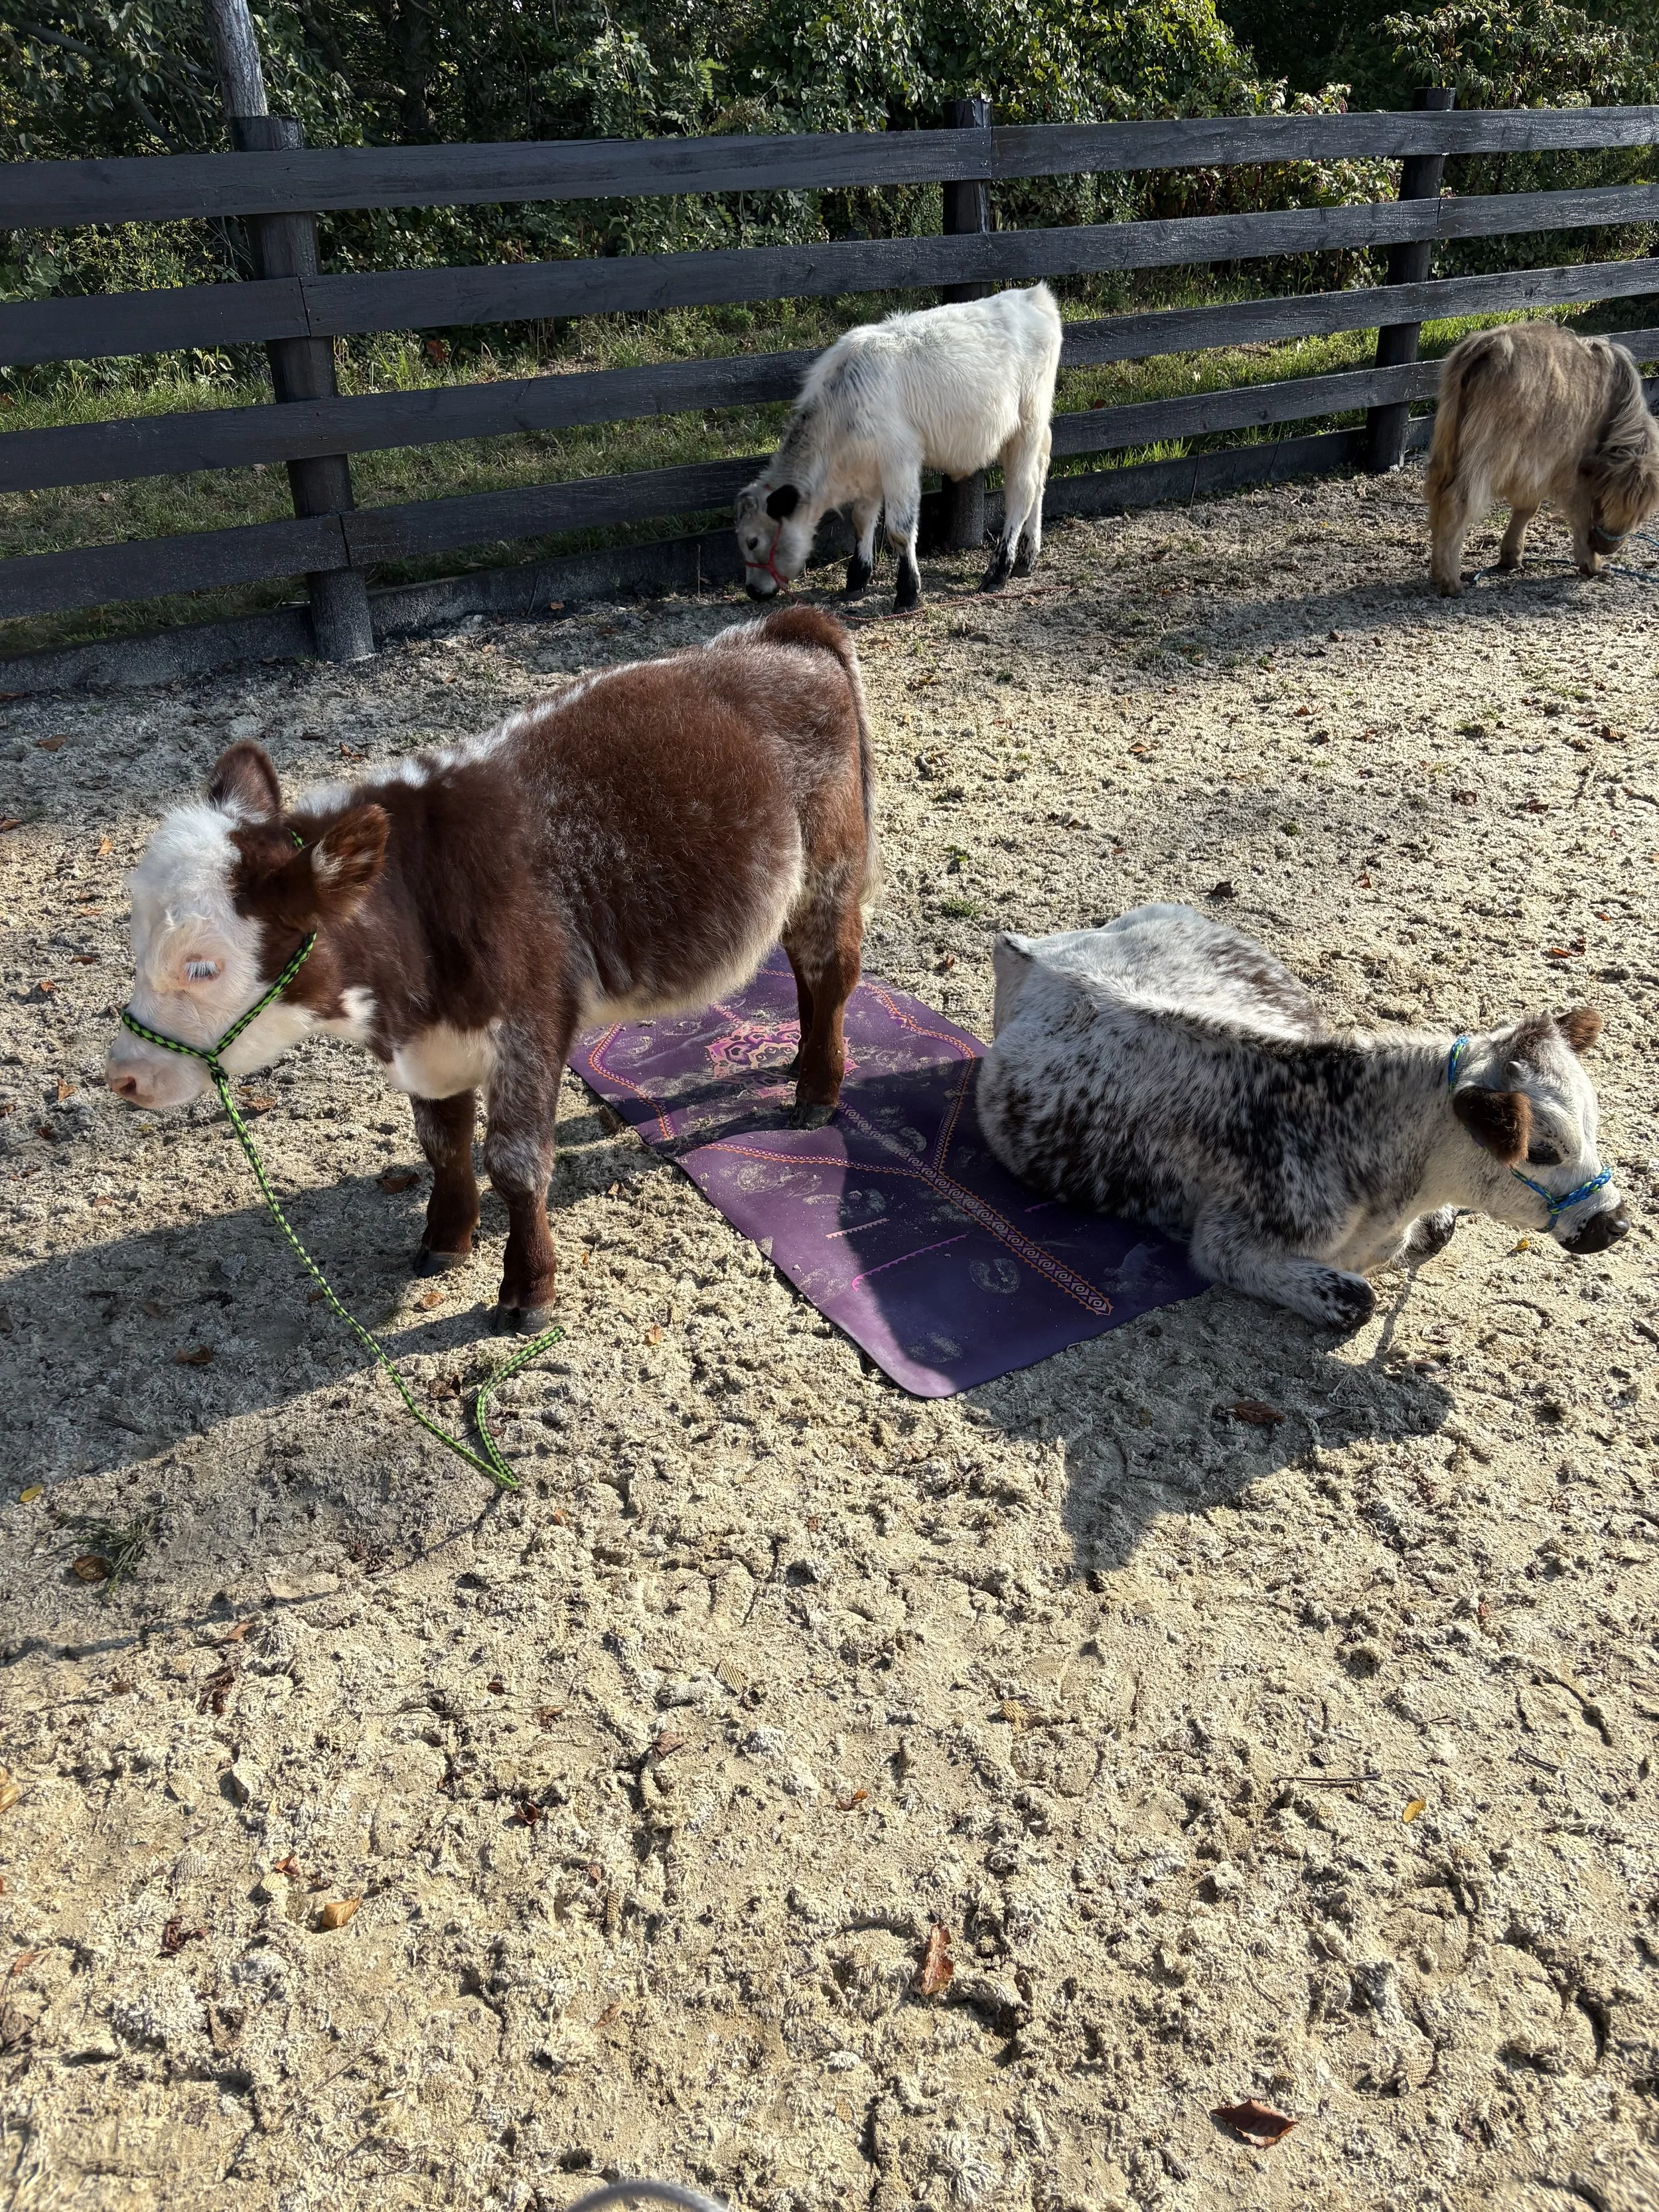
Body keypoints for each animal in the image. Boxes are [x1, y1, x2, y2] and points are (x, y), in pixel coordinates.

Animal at [106, 607, 879, 1332]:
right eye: (138, 943)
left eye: (203, 966)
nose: (123, 1075)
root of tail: (779, 632)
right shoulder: (433, 1044)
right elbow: (442, 1142)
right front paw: (446, 1237)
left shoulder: (531, 1025)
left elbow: (514, 1162)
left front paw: (527, 1289)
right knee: (804, 971)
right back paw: (799, 1061)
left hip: (830, 869)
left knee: (833, 972)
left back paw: (817, 1086)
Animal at [734, 284, 1062, 612]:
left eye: (753, 541)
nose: (753, 591)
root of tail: (1033, 295)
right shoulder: (868, 472)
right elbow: (861, 521)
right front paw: (857, 579)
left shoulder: (900, 460)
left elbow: (899, 531)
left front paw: (907, 592)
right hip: (1029, 432)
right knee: (1038, 483)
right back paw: (1026, 558)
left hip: (1027, 426)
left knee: (1021, 493)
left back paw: (998, 571)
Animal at [978, 905, 1628, 1330]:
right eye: (1542, 1150)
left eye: (1595, 1128)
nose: (1616, 1222)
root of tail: (1037, 948)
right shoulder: (1227, 1244)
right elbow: (1358, 1302)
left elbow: (1440, 1230)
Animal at [1426, 322, 1659, 594]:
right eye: (1605, 501)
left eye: (1641, 514)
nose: (1607, 548)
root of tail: (1491, 345)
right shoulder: (1564, 467)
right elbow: (1572, 511)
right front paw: (1591, 563)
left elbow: (1527, 508)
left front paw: (1511, 556)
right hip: (1488, 450)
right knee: (1456, 501)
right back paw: (1450, 580)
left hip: (1449, 439)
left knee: (1437, 494)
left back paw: (1438, 568)